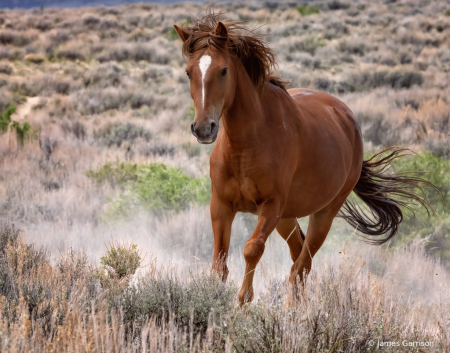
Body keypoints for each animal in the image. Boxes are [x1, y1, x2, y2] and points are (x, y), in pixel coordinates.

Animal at [173, 13, 436, 304]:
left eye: (223, 70)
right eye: (189, 72)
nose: (203, 128)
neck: (246, 145)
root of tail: (347, 118)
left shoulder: (271, 206)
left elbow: (252, 249)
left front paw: (243, 301)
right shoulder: (221, 205)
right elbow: (219, 264)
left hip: (322, 214)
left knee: (302, 266)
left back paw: (292, 310)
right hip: (286, 217)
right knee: (297, 256)